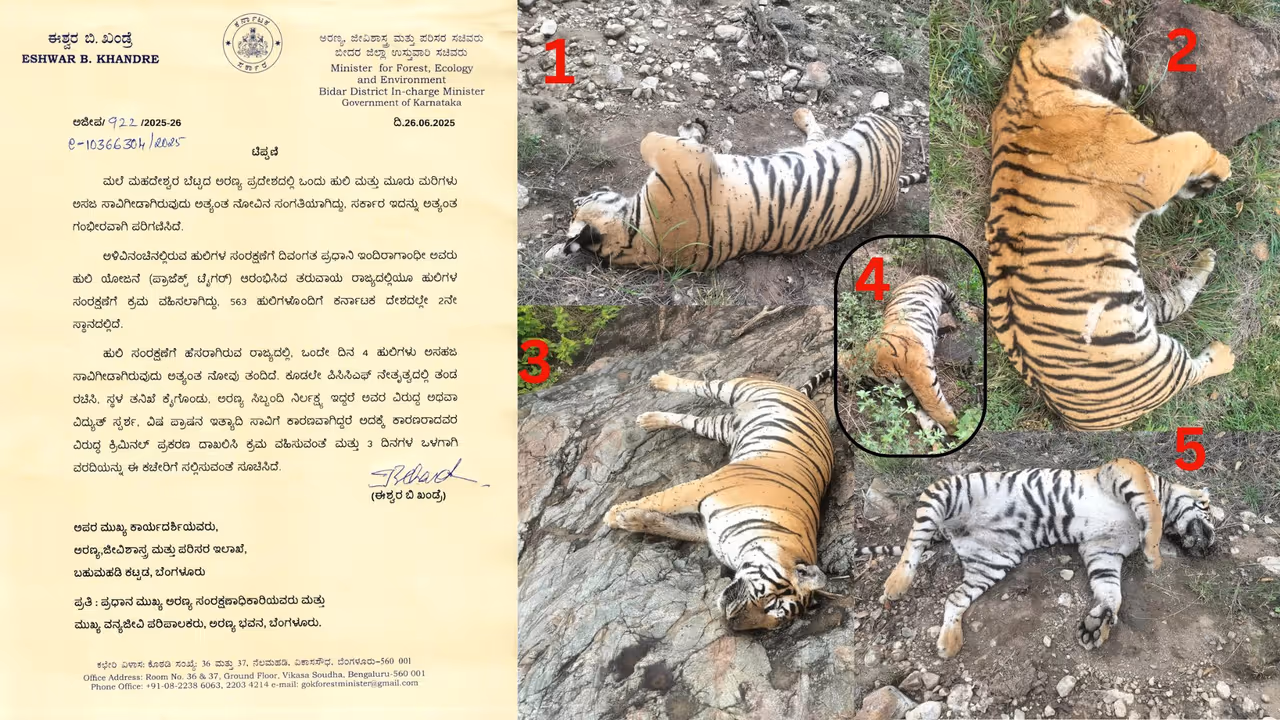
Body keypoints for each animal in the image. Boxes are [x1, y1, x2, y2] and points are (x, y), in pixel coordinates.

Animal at [557, 108, 925, 271]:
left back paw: (800, 112)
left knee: (818, 134)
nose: (576, 195)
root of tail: (892, 192)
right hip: (873, 127)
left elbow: (659, 139)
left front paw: (694, 128)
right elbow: (650, 139)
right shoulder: (685, 161)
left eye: (579, 202)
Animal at [602, 366, 835, 631]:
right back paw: (659, 381)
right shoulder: (701, 488)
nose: (731, 622)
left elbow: (668, 526)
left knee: (690, 420)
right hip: (735, 389)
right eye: (771, 602)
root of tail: (803, 396)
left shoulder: (705, 529)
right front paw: (613, 515)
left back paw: (650, 420)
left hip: (719, 427)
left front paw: (630, 520)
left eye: (773, 622)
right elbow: (661, 500)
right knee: (699, 385)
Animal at [839, 275, 981, 435]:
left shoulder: (916, 370)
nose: (845, 388)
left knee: (958, 301)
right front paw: (934, 430)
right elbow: (917, 407)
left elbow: (931, 403)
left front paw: (956, 429)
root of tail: (912, 278)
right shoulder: (906, 387)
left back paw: (970, 317)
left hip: (941, 287)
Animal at [880, 458, 1216, 658]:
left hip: (991, 562)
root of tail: (952, 531)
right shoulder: (1126, 470)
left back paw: (949, 644)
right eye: (1211, 512)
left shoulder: (1103, 550)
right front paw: (1153, 557)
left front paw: (1098, 625)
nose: (1211, 547)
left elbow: (1111, 591)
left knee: (954, 598)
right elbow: (1153, 512)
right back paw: (897, 584)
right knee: (914, 540)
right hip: (950, 490)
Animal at [986, 6, 1235, 431]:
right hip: (1155, 365)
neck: (1028, 80)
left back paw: (1206, 259)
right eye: (1114, 40)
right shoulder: (1151, 165)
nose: (1133, 63)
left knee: (1174, 301)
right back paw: (1225, 354)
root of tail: (1072, 420)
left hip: (1141, 309)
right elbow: (1192, 140)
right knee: (1192, 370)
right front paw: (1221, 165)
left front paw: (1201, 183)